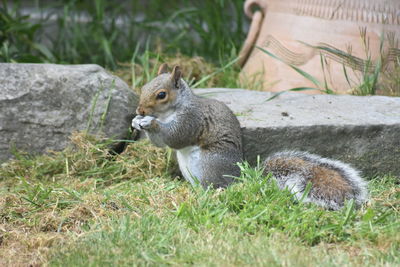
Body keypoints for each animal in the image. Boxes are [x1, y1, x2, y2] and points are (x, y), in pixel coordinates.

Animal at [132, 63, 368, 210]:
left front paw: (150, 123)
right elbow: (161, 144)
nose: (140, 109)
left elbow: (175, 137)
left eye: (161, 95)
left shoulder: (192, 119)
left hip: (208, 164)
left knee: (218, 186)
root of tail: (241, 177)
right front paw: (136, 122)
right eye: (143, 87)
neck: (171, 111)